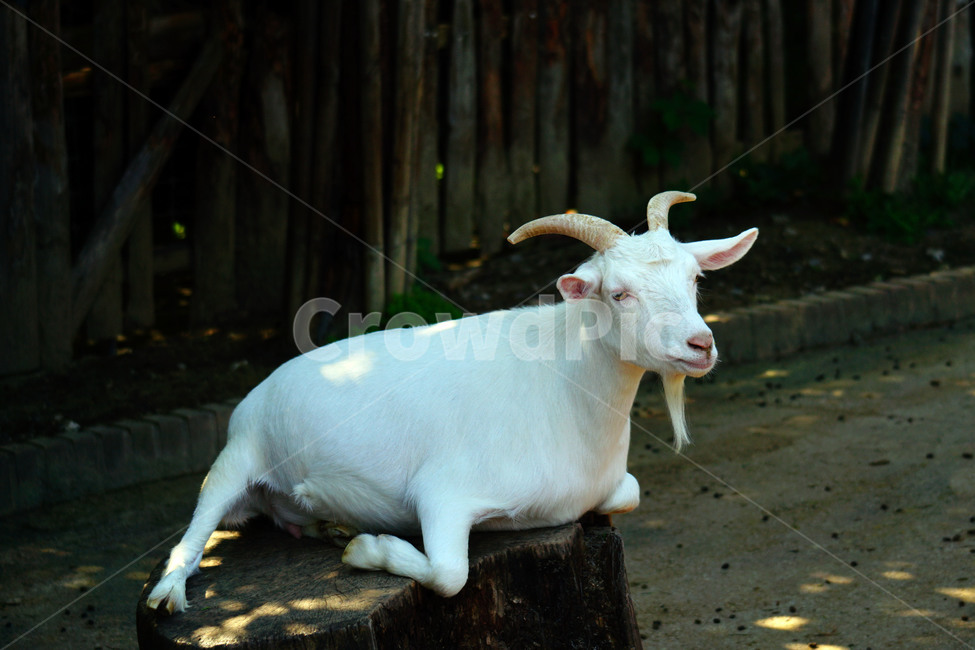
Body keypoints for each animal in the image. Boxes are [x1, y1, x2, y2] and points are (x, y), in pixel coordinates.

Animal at [146, 191, 757, 613]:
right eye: (618, 293)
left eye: (695, 278)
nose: (700, 345)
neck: (564, 391)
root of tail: (258, 391)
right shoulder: (444, 493)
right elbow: (448, 575)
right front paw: (366, 551)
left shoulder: (610, 485)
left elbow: (629, 493)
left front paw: (352, 539)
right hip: (236, 457)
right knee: (194, 533)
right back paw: (168, 594)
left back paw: (327, 523)